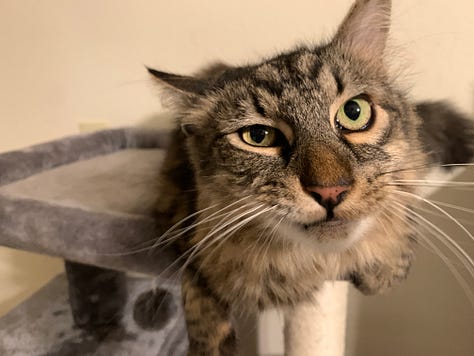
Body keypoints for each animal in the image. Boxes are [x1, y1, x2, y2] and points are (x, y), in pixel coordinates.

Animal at [146, 1, 472, 354]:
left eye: (354, 112)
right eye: (258, 136)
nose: (330, 191)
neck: (321, 267)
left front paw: (384, 269)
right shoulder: (176, 218)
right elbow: (196, 292)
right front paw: (212, 344)